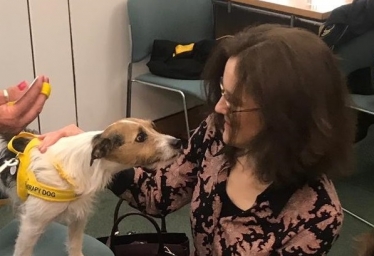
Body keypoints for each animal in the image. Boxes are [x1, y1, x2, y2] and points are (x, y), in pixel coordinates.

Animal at [0, 118, 182, 256]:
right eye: (140, 137)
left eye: (153, 127)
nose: (179, 142)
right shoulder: (32, 224)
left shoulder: (78, 217)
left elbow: (74, 245)